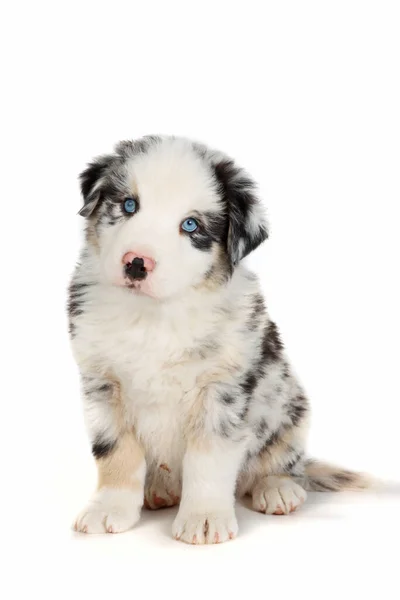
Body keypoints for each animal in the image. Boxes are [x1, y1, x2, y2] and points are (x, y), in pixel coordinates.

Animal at [69, 136, 368, 544]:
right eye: (129, 205)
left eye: (190, 224)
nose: (136, 263)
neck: (154, 315)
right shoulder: (102, 385)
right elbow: (116, 454)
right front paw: (108, 509)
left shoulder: (222, 389)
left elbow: (208, 459)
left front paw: (204, 518)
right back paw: (158, 490)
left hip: (291, 409)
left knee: (283, 462)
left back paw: (277, 488)